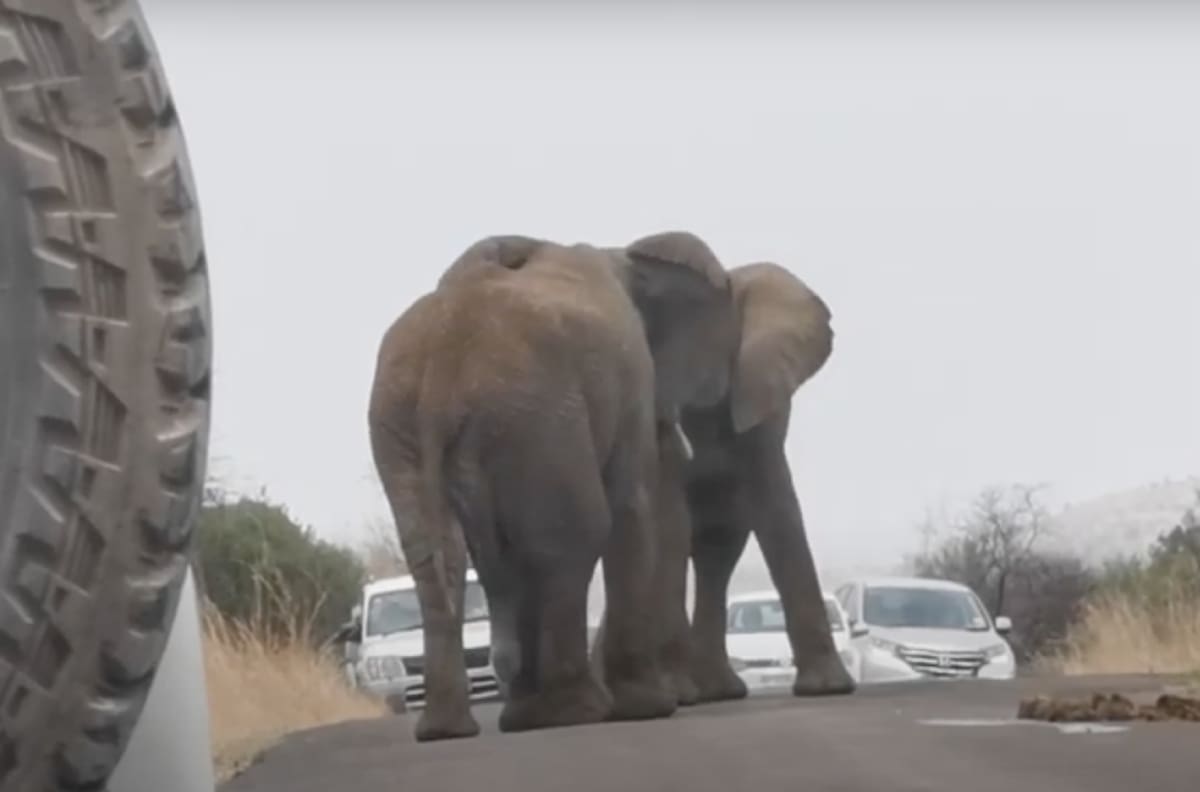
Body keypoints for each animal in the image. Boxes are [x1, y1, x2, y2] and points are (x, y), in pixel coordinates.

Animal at [365, 231, 740, 740]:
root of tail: (444, 358)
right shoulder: (632, 379)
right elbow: (630, 506)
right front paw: (647, 708)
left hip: (405, 421)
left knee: (441, 556)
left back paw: (454, 729)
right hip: (537, 408)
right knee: (573, 535)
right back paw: (571, 712)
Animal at [592, 260, 856, 705]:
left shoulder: (758, 391)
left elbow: (777, 508)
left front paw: (829, 689)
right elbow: (670, 519)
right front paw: (677, 692)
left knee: (720, 548)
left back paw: (716, 691)